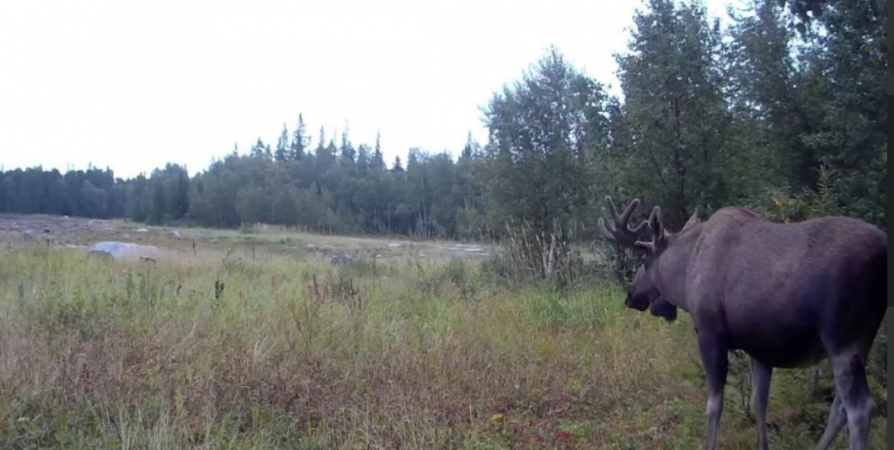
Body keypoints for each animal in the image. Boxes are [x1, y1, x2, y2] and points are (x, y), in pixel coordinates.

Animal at [600, 196, 884, 450]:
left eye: (645, 261)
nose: (631, 295)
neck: (686, 272)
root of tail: (884, 252)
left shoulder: (710, 332)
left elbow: (714, 405)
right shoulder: (761, 347)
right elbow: (760, 401)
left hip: (841, 337)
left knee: (860, 408)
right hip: (861, 341)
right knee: (840, 406)